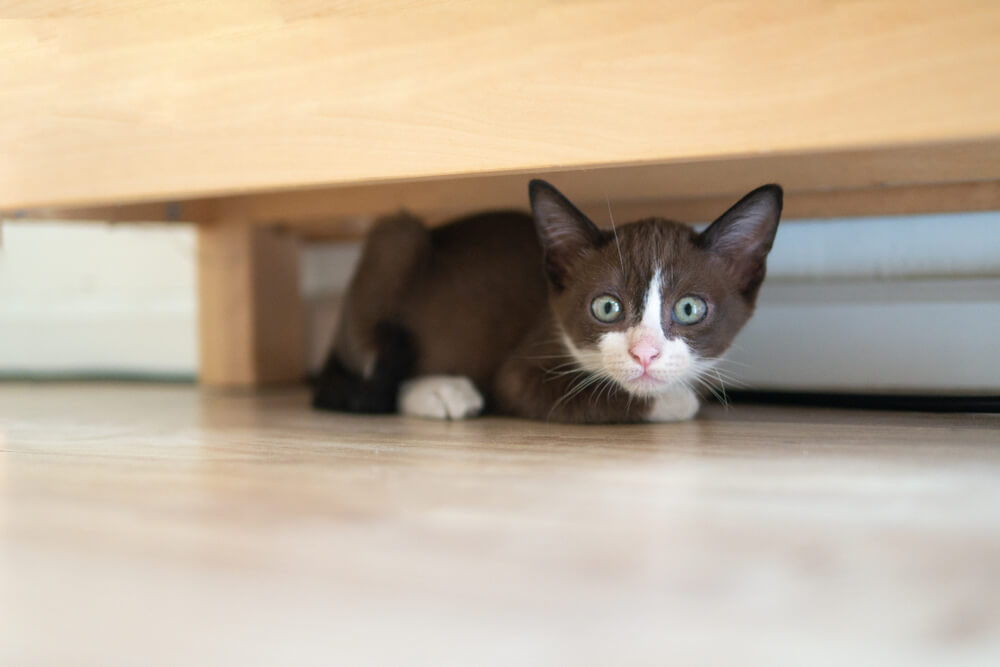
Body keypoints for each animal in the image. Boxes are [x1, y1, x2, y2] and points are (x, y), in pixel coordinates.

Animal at [312, 181, 780, 422]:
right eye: (606, 307)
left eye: (689, 309)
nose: (645, 353)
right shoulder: (519, 373)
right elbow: (602, 396)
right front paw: (673, 401)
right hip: (394, 239)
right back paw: (442, 392)